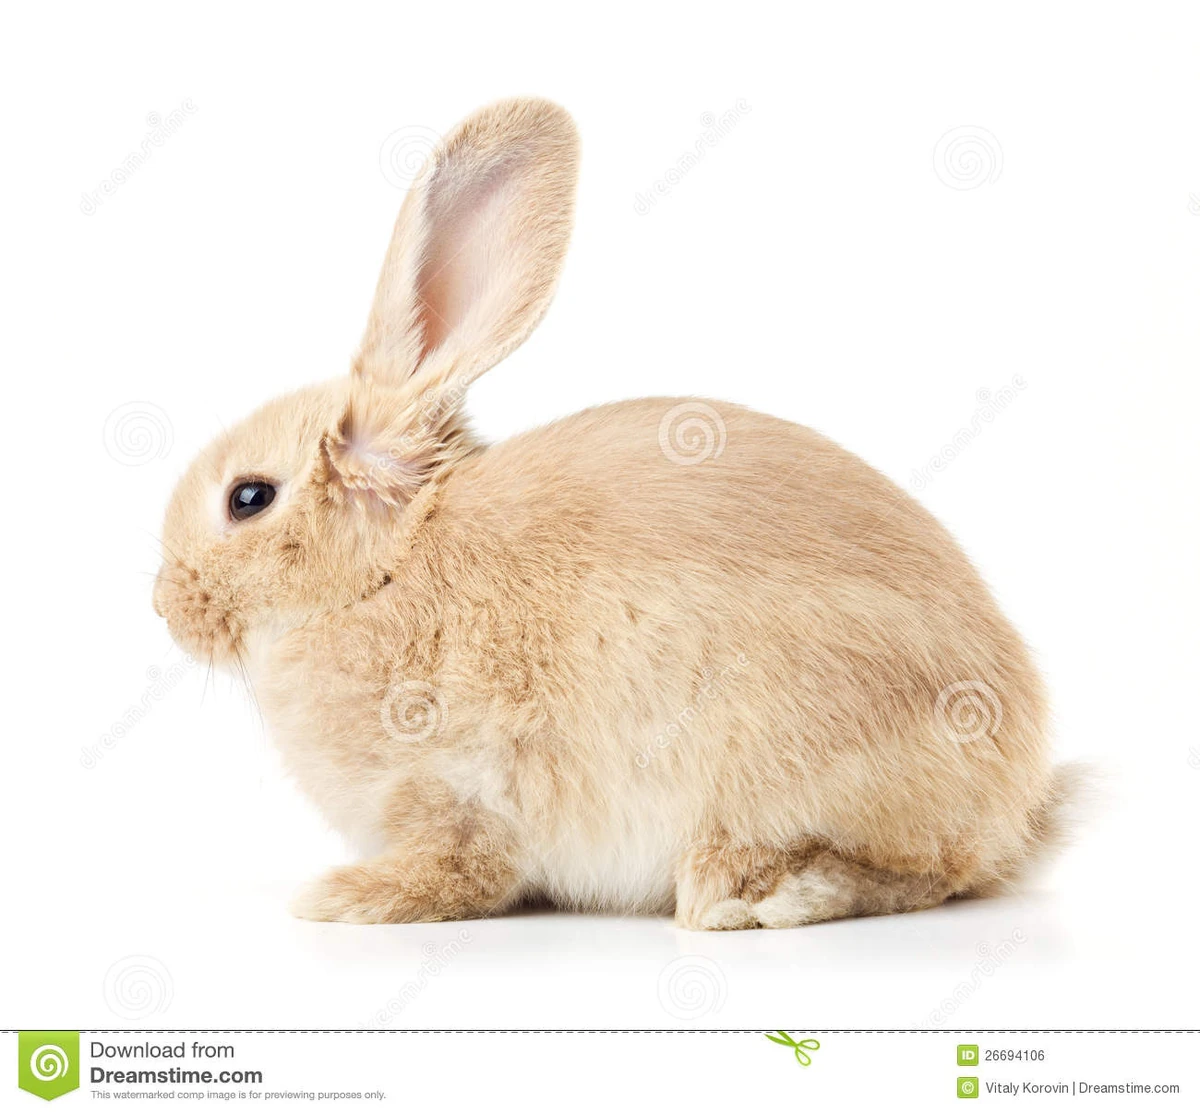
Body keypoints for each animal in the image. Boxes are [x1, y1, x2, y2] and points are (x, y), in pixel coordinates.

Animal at [153, 97, 1076, 929]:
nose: (164, 606)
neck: (388, 569)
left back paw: (753, 894)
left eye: (248, 497)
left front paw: (343, 898)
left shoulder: (457, 790)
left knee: (924, 872)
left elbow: (457, 869)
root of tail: (1019, 790)